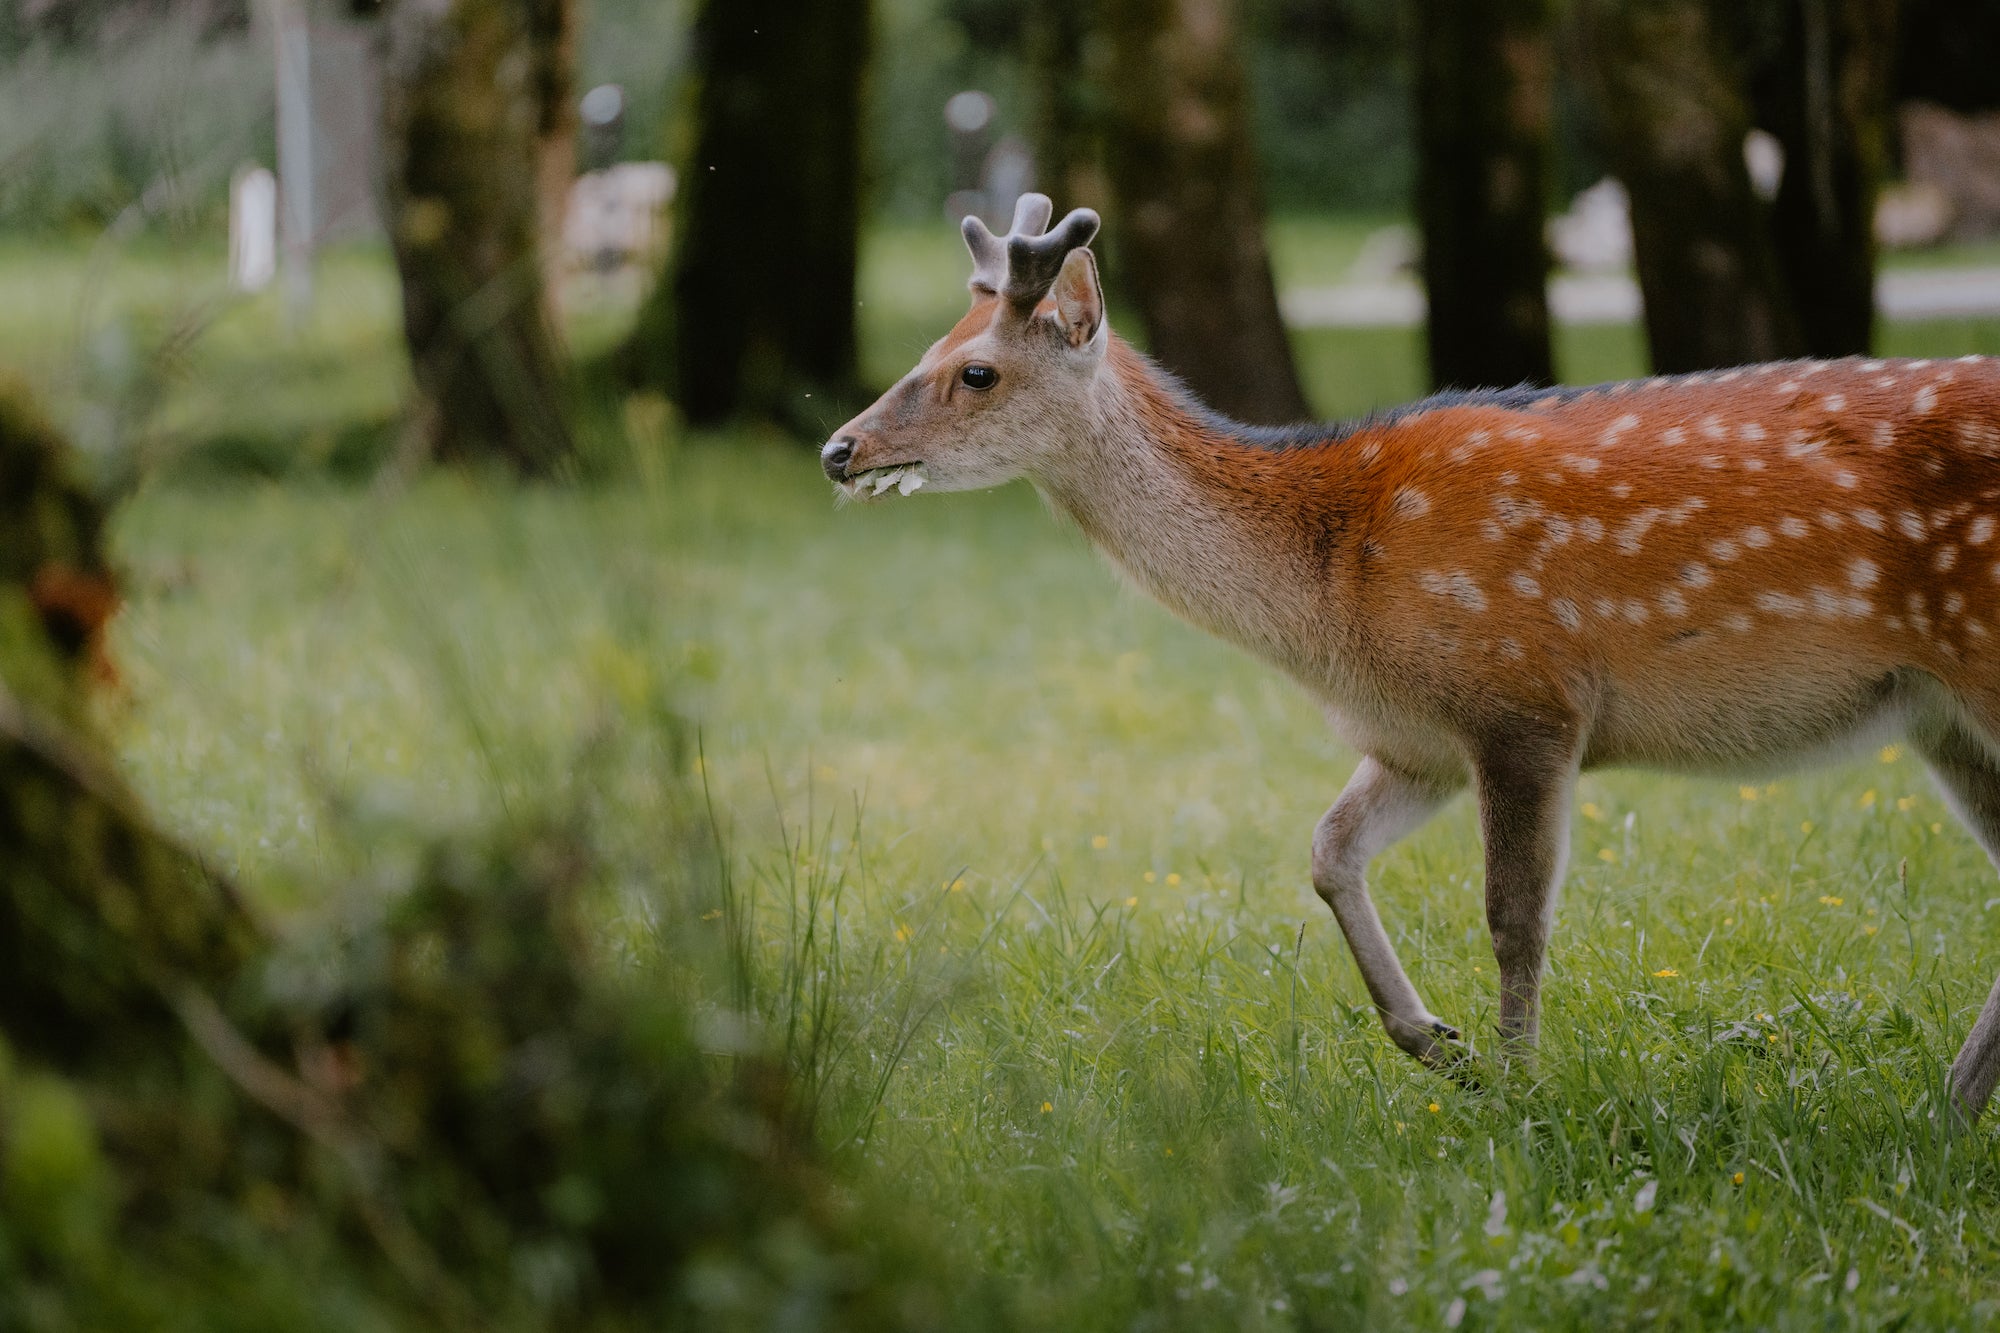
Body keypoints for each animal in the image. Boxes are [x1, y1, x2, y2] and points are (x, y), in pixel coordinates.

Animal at [819, 193, 2000, 1119]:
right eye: (924, 351)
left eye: (975, 371)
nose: (839, 448)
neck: (1331, 604)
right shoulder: (1415, 740)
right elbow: (1326, 850)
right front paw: (1438, 1045)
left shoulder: (1522, 697)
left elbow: (1513, 917)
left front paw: (1523, 1089)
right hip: (1940, 718)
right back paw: (1948, 1106)